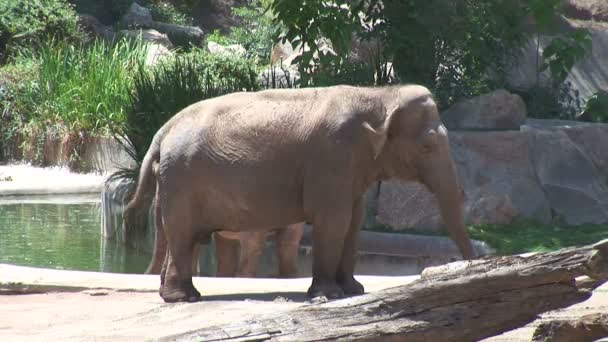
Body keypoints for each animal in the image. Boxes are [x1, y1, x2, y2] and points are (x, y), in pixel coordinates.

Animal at [127, 84, 476, 304]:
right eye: (427, 146)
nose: (469, 267)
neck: (378, 94)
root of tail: (163, 130)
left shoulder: (350, 167)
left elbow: (354, 222)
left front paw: (354, 290)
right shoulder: (333, 155)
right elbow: (334, 220)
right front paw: (330, 295)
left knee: (181, 237)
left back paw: (181, 295)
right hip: (182, 181)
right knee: (183, 235)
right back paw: (182, 298)